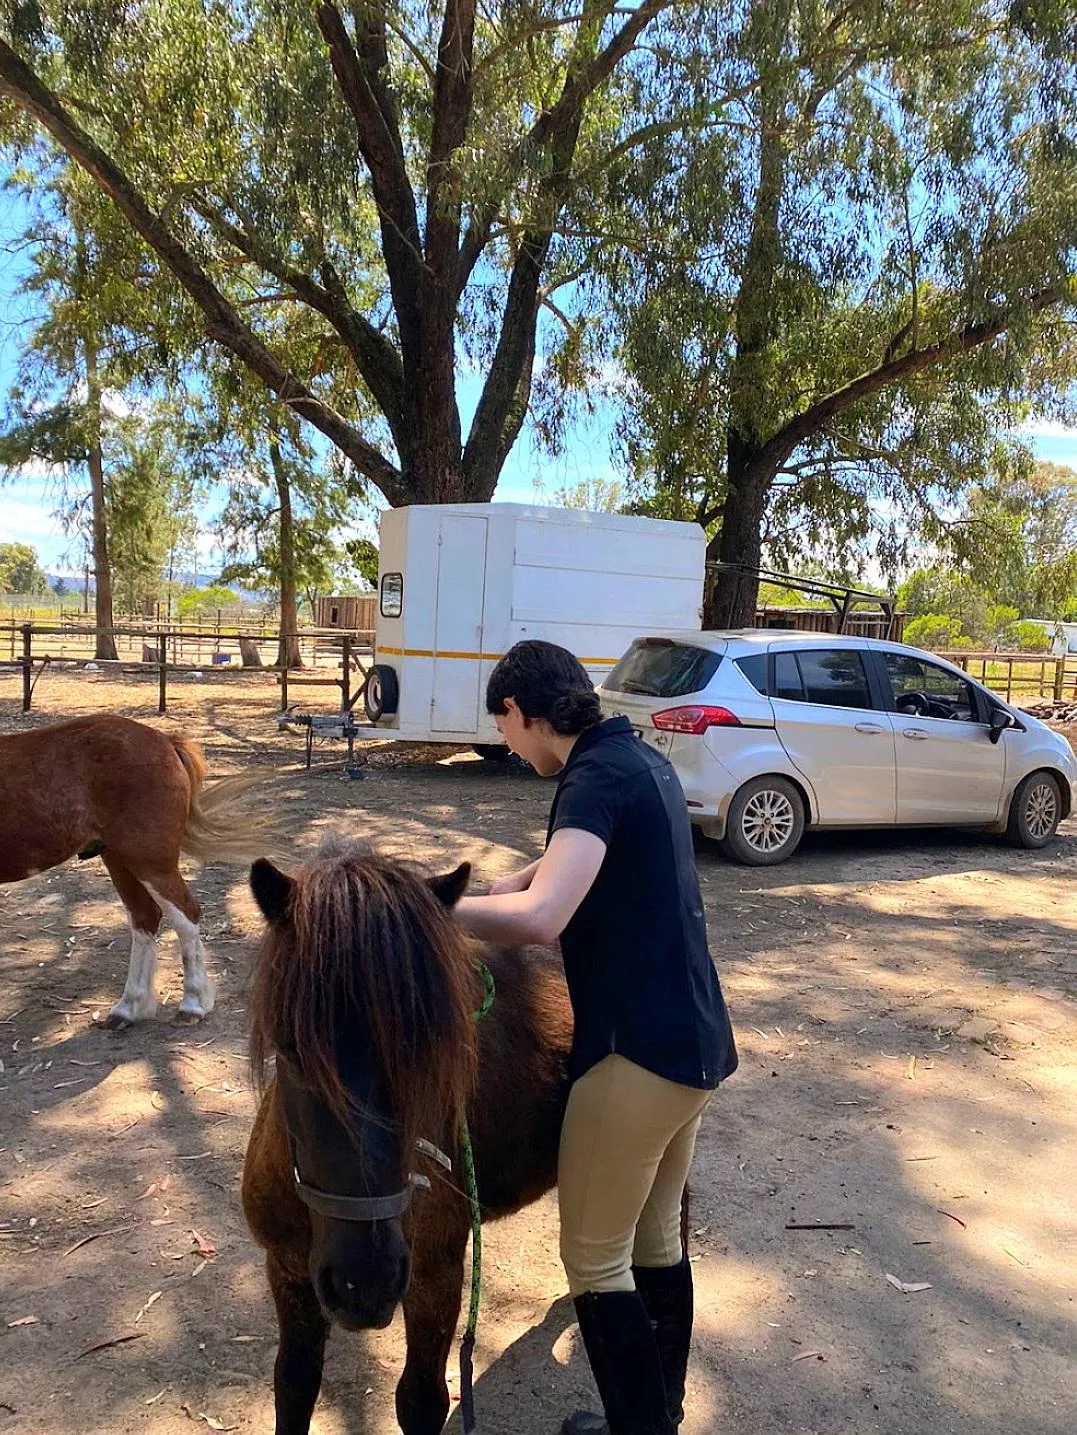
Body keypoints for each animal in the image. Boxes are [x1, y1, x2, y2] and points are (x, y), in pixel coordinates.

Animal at [0, 713, 268, 1027]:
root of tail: (165, 740)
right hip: (118, 859)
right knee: (144, 918)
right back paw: (129, 1007)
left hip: (150, 863)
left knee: (185, 916)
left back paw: (192, 1004)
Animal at [243, 842, 574, 1435]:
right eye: (290, 1046)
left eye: (430, 1051)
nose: (364, 1282)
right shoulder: (287, 1270)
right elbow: (294, 1386)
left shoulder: (435, 1277)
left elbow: (421, 1401)